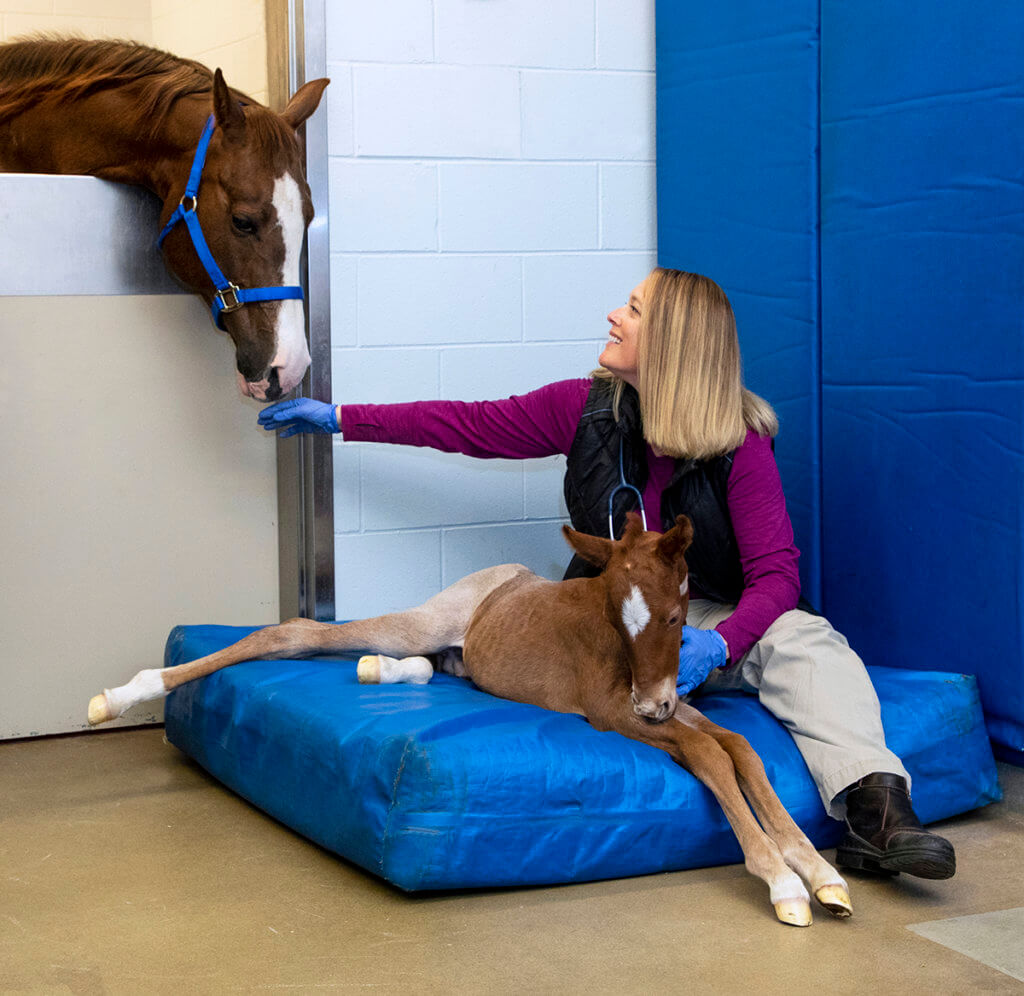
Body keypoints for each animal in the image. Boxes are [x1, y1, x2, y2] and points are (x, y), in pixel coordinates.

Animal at [90, 513, 856, 925]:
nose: (653, 703)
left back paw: (378, 673)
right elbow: (711, 757)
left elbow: (741, 748)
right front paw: (784, 880)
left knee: (425, 667)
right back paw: (123, 695)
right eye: (618, 614)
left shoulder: (678, 702)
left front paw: (818, 866)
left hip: (453, 653)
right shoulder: (610, 713)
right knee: (298, 633)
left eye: (675, 616)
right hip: (425, 619)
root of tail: (501, 578)